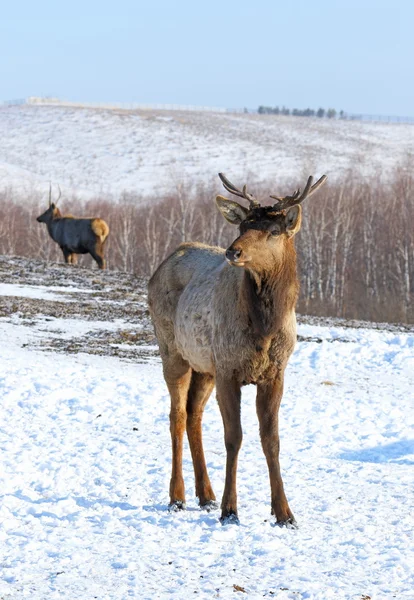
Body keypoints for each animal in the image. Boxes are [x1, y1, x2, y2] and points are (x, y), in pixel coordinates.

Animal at [148, 170, 326, 524]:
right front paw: (231, 510)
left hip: (205, 365)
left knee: (194, 413)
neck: (264, 329)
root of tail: (159, 268)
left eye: (273, 231)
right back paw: (177, 497)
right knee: (176, 414)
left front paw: (284, 513)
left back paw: (206, 494)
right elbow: (234, 437)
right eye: (242, 226)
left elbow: (271, 440)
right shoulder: (229, 369)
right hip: (173, 351)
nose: (233, 252)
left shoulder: (274, 373)